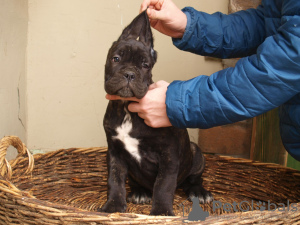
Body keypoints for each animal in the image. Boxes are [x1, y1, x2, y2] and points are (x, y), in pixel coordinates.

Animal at [99, 10, 212, 216]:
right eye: (116, 59)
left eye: (145, 65)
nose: (129, 74)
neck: (127, 108)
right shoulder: (115, 153)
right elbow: (115, 180)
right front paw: (113, 206)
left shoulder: (168, 155)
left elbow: (164, 185)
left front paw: (161, 212)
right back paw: (140, 192)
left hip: (195, 152)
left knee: (192, 180)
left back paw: (199, 192)